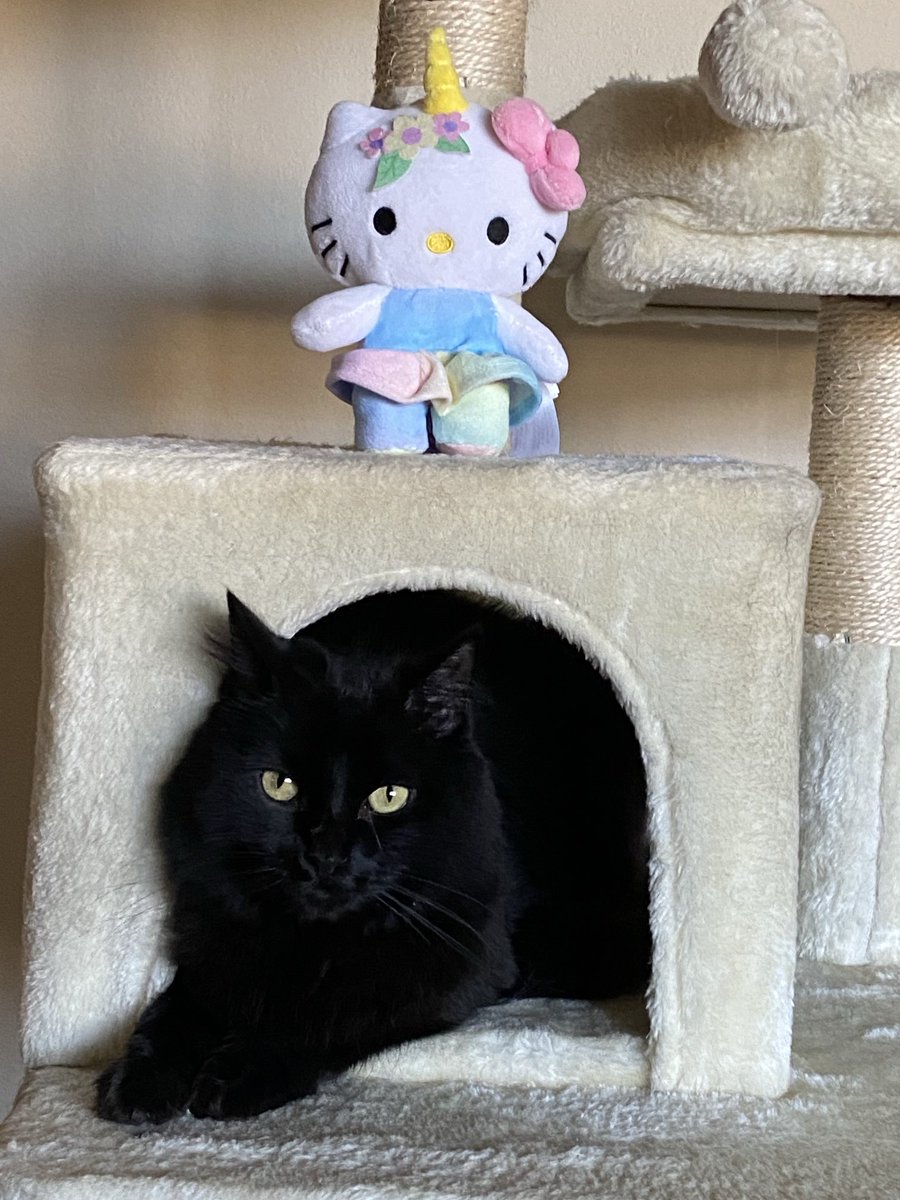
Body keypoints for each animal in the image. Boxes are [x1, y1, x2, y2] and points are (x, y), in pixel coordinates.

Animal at [97, 590, 648, 1123]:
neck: (311, 940)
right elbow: (176, 1007)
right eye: (279, 784)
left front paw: (235, 1072)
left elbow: (333, 1012)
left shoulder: (458, 954)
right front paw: (138, 1080)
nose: (326, 855)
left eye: (389, 797)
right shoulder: (211, 930)